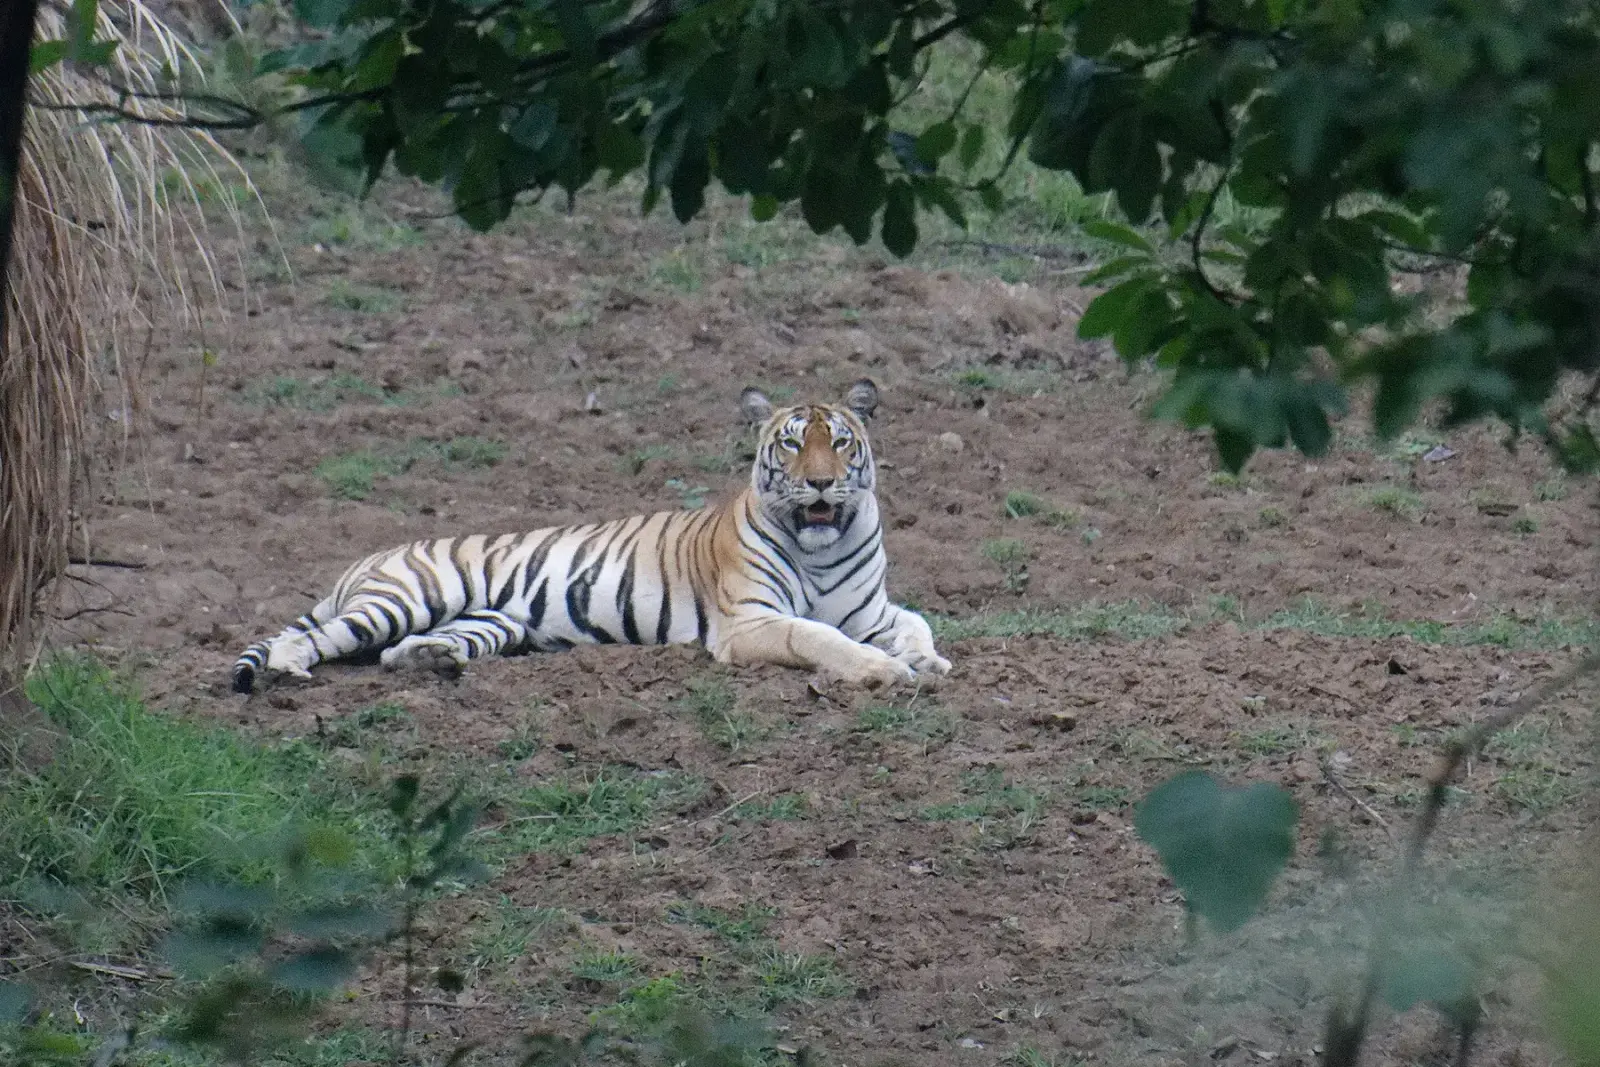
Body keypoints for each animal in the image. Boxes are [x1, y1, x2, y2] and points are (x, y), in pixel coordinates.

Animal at [230, 378, 951, 694]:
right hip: (408, 596)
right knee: (316, 636)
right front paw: (884, 669)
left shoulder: (871, 609)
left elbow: (916, 621)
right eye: (794, 444)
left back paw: (434, 663)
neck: (820, 552)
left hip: (490, 622)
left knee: (393, 653)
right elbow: (818, 636)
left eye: (842, 442)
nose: (823, 484)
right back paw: (289, 668)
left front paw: (927, 660)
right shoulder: (750, 621)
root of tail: (368, 555)